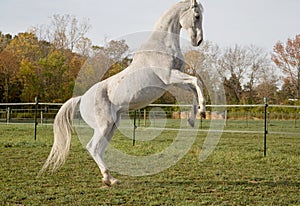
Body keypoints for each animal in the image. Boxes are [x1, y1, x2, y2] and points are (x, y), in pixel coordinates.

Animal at [39, 0, 206, 186]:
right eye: (197, 16)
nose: (198, 41)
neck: (162, 45)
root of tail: (82, 99)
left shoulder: (172, 81)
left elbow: (194, 87)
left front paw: (194, 118)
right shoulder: (169, 77)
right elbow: (196, 82)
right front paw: (202, 111)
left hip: (112, 126)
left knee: (99, 150)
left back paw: (110, 179)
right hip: (104, 125)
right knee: (93, 147)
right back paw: (109, 179)